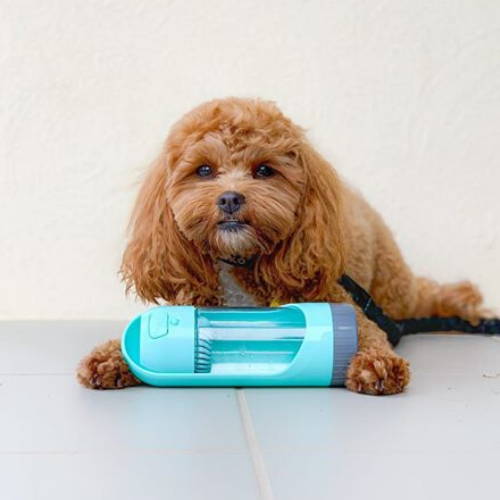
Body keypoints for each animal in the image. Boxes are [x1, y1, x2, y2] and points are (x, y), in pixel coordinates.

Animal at [77, 97, 485, 394]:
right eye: (204, 170)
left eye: (264, 170)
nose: (229, 199)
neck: (241, 264)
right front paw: (110, 358)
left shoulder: (343, 303)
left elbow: (370, 336)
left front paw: (376, 366)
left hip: (391, 286)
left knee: (428, 294)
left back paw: (468, 307)